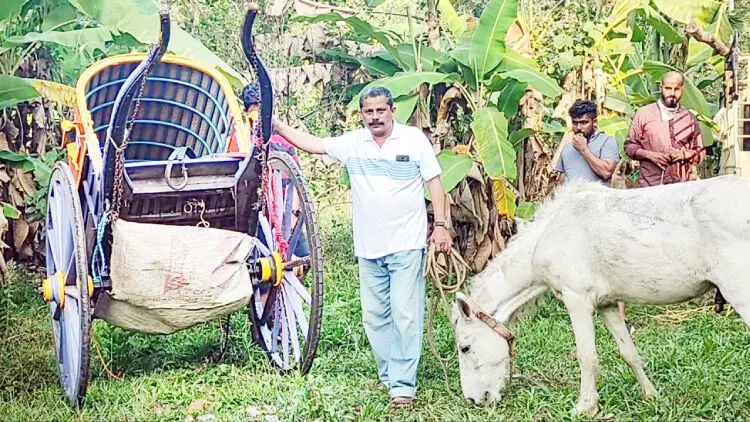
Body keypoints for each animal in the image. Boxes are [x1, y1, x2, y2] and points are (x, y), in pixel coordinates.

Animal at [452, 175, 750, 416]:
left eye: (465, 347)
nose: (473, 400)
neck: (550, 235)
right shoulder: (608, 304)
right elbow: (629, 352)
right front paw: (651, 396)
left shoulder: (577, 299)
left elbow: (587, 356)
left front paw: (586, 406)